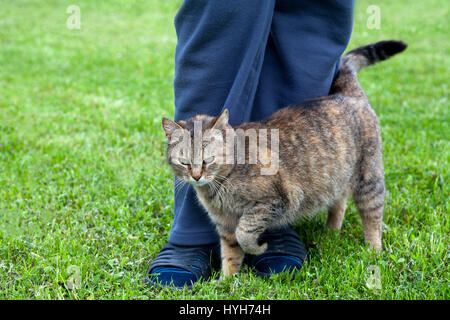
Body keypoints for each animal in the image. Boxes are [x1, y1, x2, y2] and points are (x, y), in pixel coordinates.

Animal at [162, 40, 408, 278]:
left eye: (208, 159)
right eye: (184, 162)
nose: (196, 176)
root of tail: (347, 93)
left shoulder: (277, 200)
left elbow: (245, 231)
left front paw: (257, 248)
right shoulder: (225, 223)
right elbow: (230, 254)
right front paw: (227, 282)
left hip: (369, 178)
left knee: (373, 217)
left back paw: (373, 250)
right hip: (336, 176)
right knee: (340, 200)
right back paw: (330, 231)